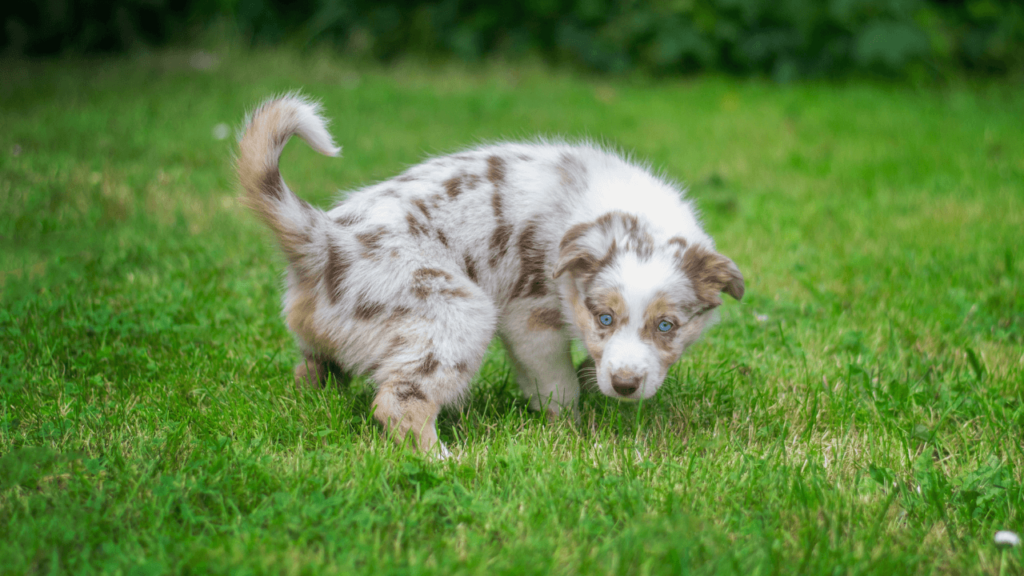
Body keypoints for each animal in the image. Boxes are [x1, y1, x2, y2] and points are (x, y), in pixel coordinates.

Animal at [235, 93, 741, 453]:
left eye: (667, 326)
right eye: (604, 318)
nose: (625, 386)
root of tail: (324, 238)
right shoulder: (530, 317)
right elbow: (555, 385)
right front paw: (573, 433)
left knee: (312, 370)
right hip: (459, 313)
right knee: (400, 402)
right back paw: (446, 461)